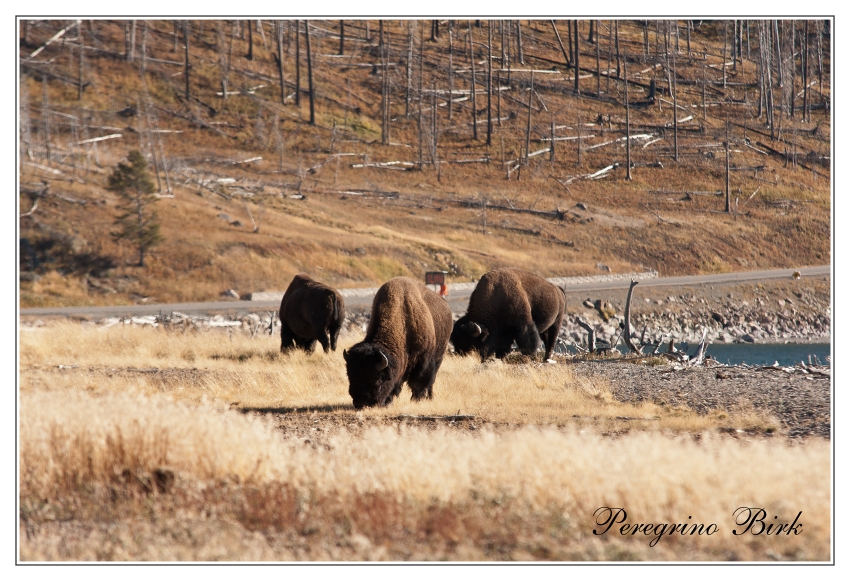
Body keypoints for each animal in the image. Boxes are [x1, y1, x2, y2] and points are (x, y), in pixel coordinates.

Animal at [342, 276, 454, 408]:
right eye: (350, 376)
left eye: (377, 380)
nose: (361, 403)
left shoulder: (424, 360)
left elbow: (418, 382)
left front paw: (416, 399)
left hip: (439, 357)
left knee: (432, 379)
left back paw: (429, 397)